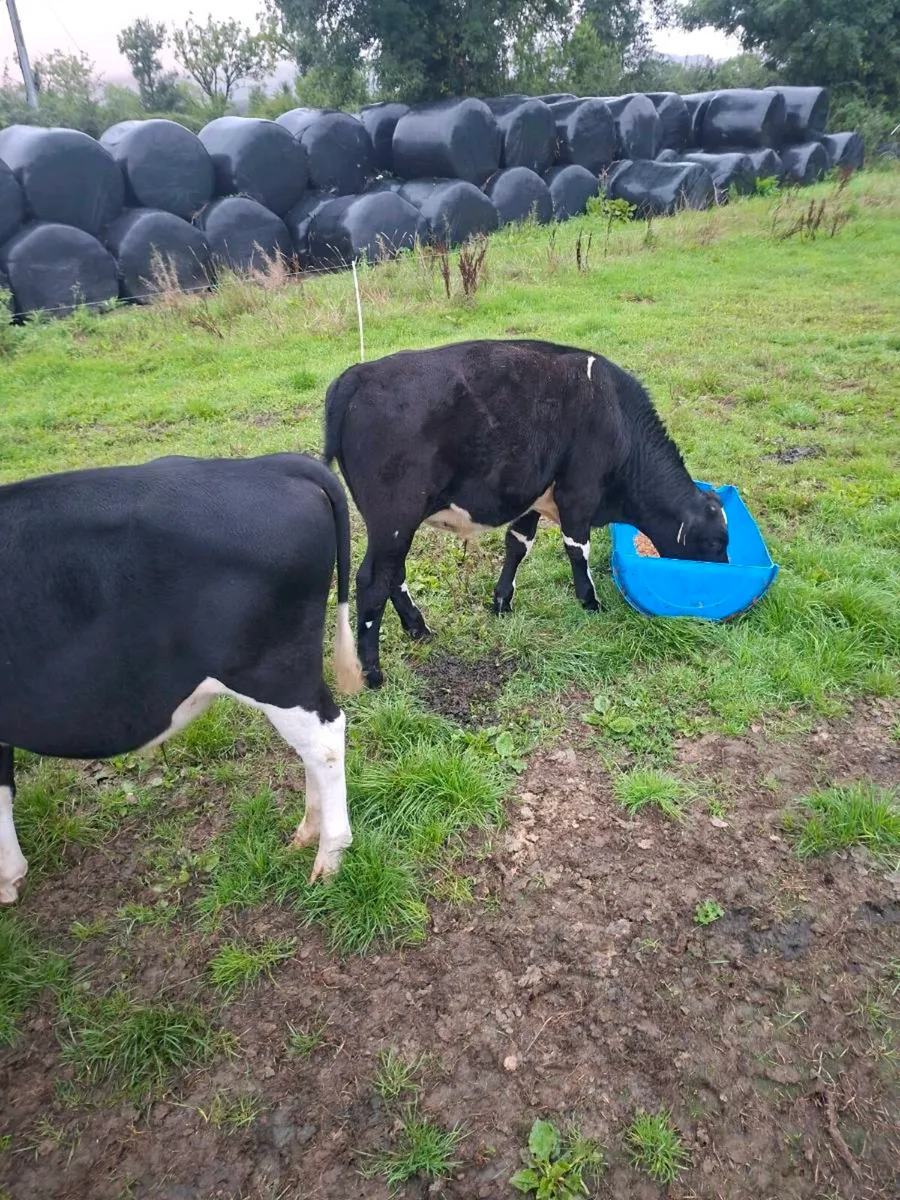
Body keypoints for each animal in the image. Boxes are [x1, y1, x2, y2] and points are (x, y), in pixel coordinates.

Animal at [0, 453, 363, 905]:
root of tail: (274, 463)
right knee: (312, 746)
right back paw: (307, 833)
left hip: (272, 671)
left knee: (325, 743)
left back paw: (330, 857)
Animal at [324, 338, 729, 688]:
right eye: (714, 542)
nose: (726, 571)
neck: (615, 417)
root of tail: (359, 374)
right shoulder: (578, 494)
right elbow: (577, 550)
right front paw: (591, 602)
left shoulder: (532, 496)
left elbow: (517, 544)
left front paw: (502, 602)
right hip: (394, 518)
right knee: (373, 581)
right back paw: (373, 673)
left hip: (394, 526)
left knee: (394, 574)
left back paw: (418, 628)